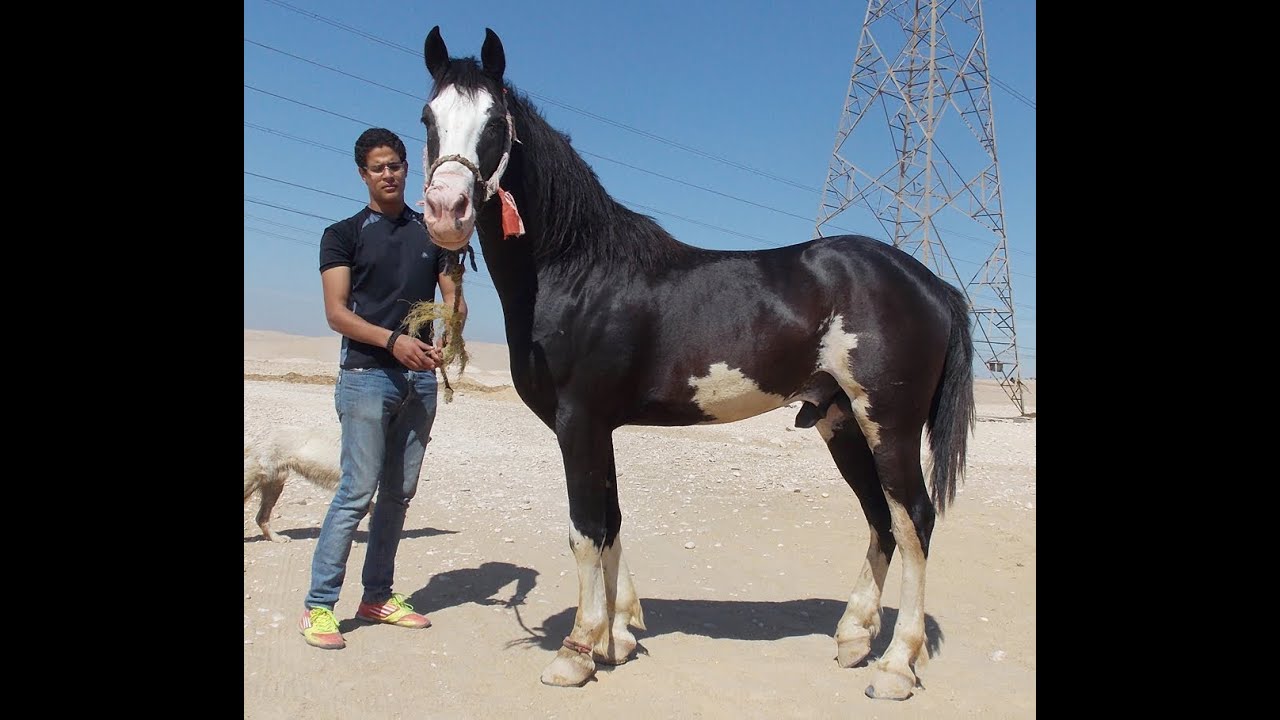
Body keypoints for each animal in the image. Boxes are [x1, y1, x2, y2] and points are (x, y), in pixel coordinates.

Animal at [417, 26, 975, 701]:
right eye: (427, 118)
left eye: (495, 121)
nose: (445, 210)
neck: (579, 270)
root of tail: (931, 283)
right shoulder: (598, 428)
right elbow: (611, 521)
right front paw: (618, 638)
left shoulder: (578, 423)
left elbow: (584, 529)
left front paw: (577, 652)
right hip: (840, 421)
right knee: (880, 520)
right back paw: (853, 638)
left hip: (888, 424)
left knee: (914, 518)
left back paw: (895, 665)